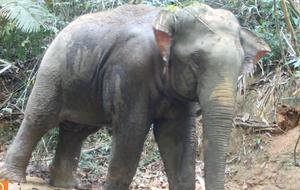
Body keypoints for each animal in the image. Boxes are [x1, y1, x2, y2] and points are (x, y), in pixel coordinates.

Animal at [0, 2, 270, 190]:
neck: (169, 17)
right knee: (39, 118)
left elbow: (178, 137)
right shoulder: (131, 68)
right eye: (195, 61)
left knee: (76, 130)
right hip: (53, 71)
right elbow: (132, 131)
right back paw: (14, 177)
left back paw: (65, 184)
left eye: (241, 65)